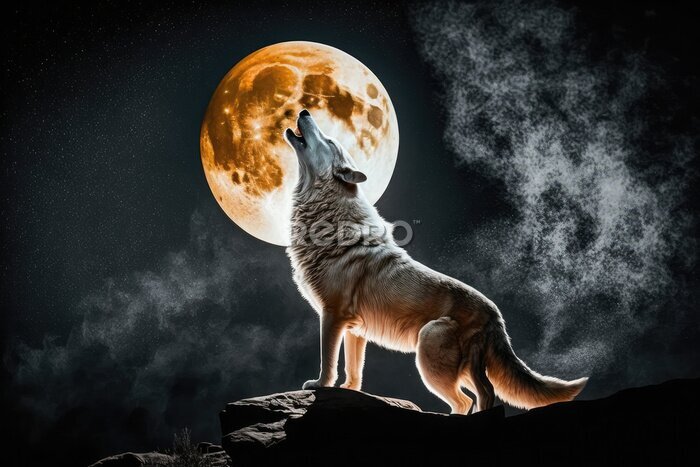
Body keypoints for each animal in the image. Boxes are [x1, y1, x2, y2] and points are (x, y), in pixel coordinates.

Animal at [283, 109, 588, 414]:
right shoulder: (354, 329)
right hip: (462, 369)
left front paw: (320, 385)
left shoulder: (332, 316)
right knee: (485, 393)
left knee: (468, 399)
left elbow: (328, 361)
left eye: (328, 141)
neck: (328, 215)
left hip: (429, 349)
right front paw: (348, 390)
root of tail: (496, 315)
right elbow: (354, 370)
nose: (305, 111)